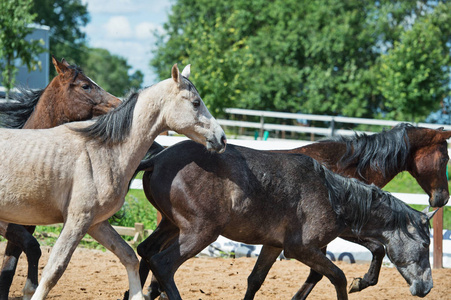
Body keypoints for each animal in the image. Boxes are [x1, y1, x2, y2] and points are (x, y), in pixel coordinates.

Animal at [0, 56, 121, 300]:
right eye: (85, 85)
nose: (119, 103)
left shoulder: (22, 228)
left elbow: (7, 272)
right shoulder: (7, 224)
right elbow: (33, 247)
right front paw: (30, 288)